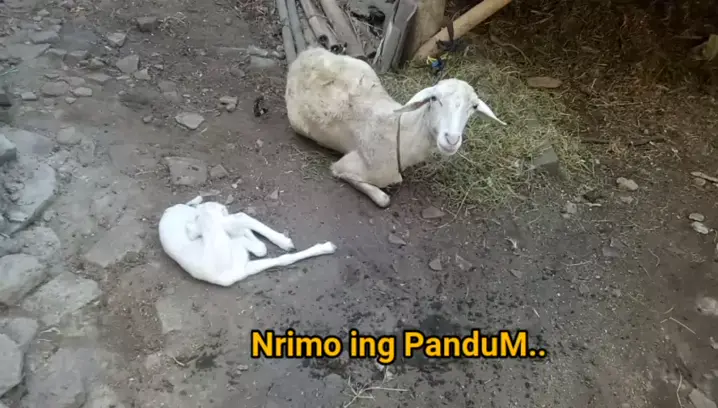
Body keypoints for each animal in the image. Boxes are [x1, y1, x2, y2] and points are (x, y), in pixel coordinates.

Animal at [158, 195, 337, 287]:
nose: (220, 206)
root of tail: (169, 209)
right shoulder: (244, 268)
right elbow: (276, 256)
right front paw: (326, 247)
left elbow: (279, 257)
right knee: (239, 220)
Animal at [285, 46, 507, 208]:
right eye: (434, 98)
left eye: (474, 107)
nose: (451, 139)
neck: (401, 134)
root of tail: (302, 56)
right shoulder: (349, 166)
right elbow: (384, 198)